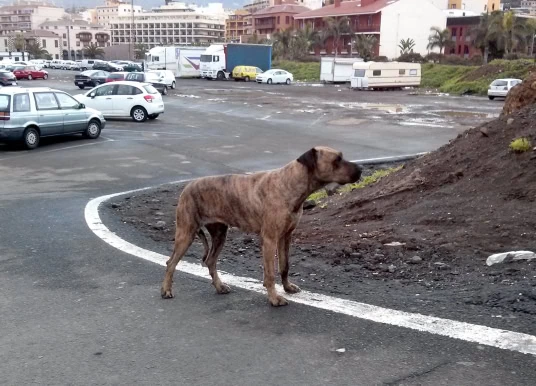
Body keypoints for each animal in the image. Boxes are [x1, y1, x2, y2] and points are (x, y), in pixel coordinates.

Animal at [159, 146, 360, 306]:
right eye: (337, 160)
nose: (361, 169)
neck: (291, 183)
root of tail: (187, 187)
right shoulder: (270, 239)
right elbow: (270, 273)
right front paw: (274, 298)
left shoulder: (286, 236)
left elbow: (285, 266)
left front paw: (287, 287)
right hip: (186, 233)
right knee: (171, 262)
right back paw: (166, 290)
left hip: (219, 234)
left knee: (210, 261)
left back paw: (219, 286)